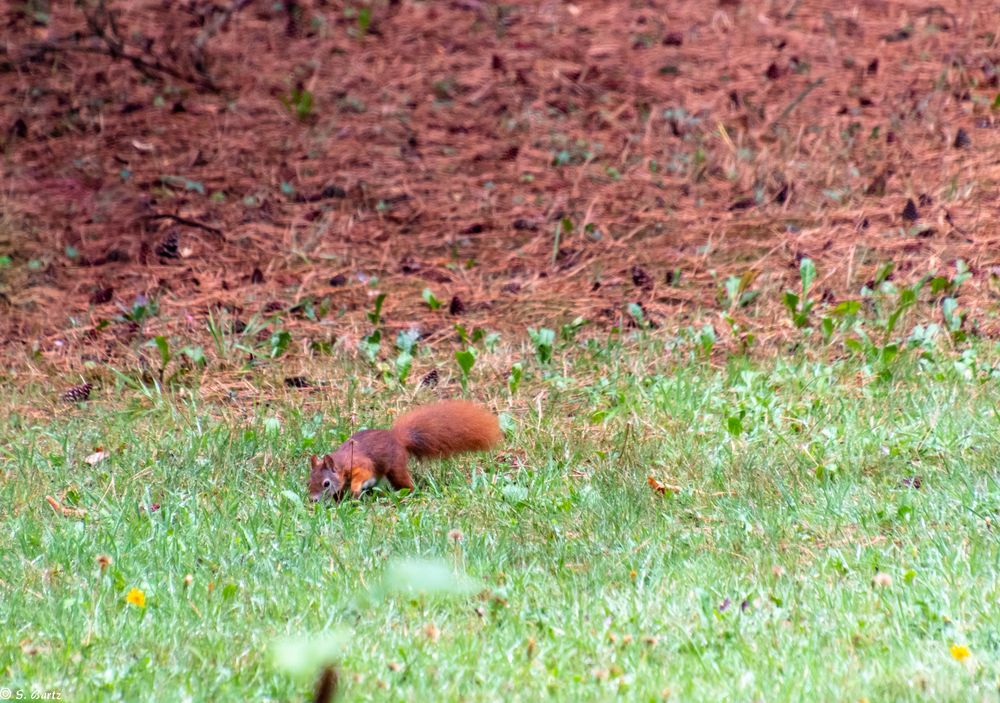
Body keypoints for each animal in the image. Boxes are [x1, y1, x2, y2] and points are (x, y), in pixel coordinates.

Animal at [306, 402, 500, 500]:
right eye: (308, 482)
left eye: (326, 483)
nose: (312, 500)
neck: (341, 463)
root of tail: (397, 437)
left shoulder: (360, 463)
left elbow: (363, 473)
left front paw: (354, 488)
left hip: (396, 467)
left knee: (404, 482)